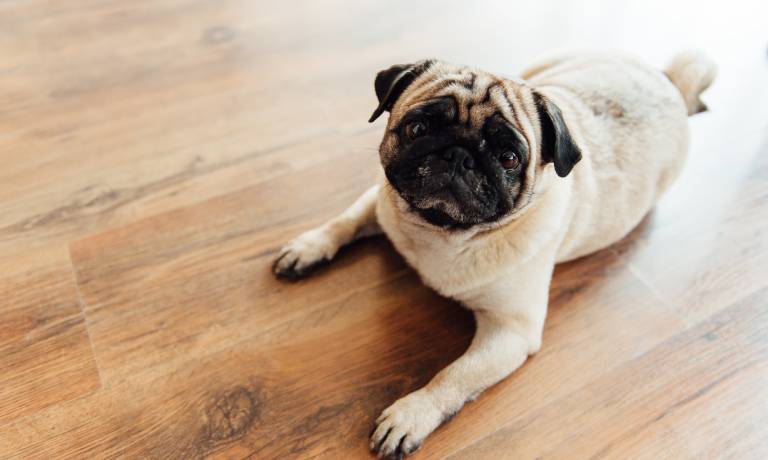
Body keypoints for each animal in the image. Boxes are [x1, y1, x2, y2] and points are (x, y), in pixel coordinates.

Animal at [272, 48, 716, 458]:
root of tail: (669, 80)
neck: (441, 233)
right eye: (418, 127)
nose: (457, 154)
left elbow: (455, 375)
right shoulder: (381, 200)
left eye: (509, 158)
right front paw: (308, 247)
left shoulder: (511, 331)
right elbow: (343, 221)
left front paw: (412, 414)